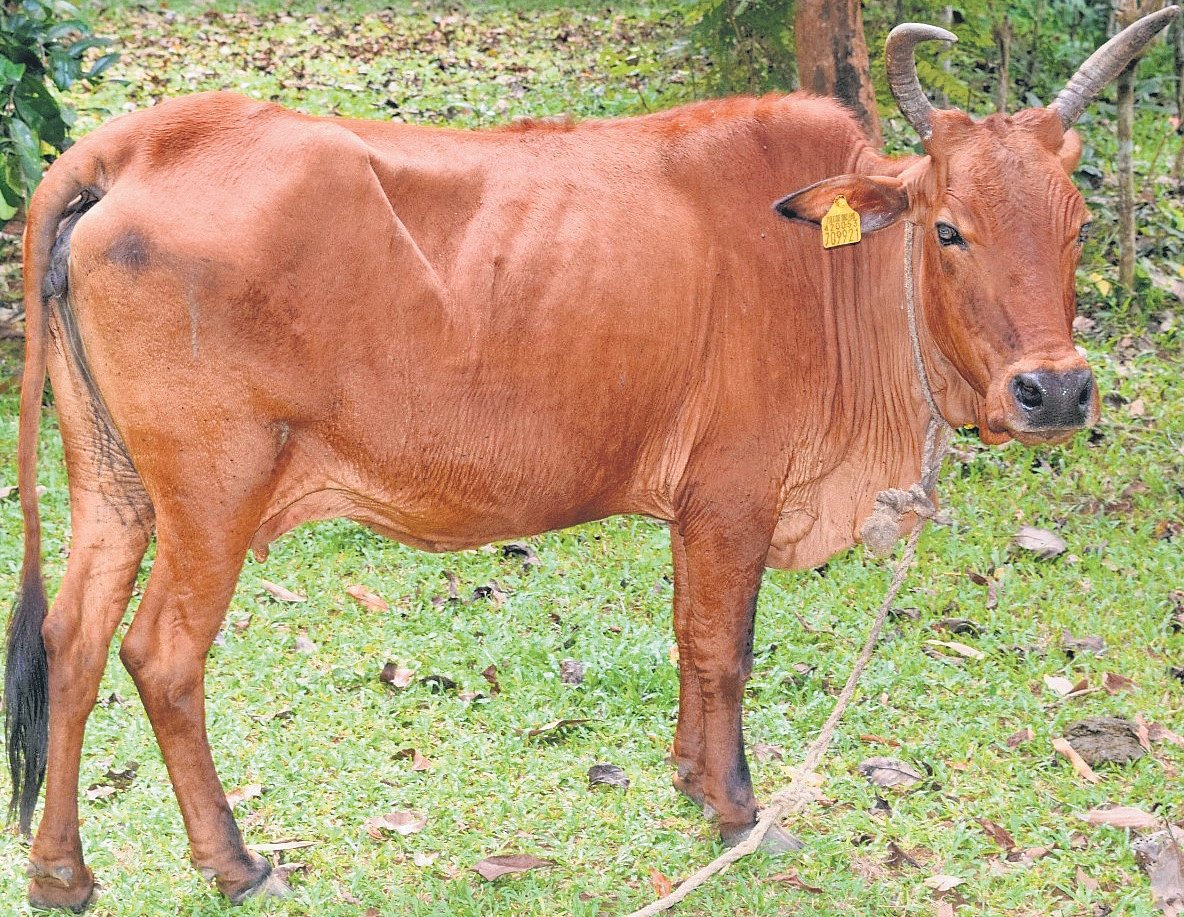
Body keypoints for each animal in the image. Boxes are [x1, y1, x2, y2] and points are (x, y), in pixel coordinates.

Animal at [6, 9, 1178, 909]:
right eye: (948, 229)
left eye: (1077, 225)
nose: (1055, 390)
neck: (829, 269)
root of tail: (138, 144)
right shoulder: (732, 493)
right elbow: (723, 647)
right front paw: (735, 809)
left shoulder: (696, 505)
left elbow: (691, 641)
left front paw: (689, 778)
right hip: (214, 493)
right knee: (160, 654)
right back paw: (234, 861)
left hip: (112, 485)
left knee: (71, 641)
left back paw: (62, 870)